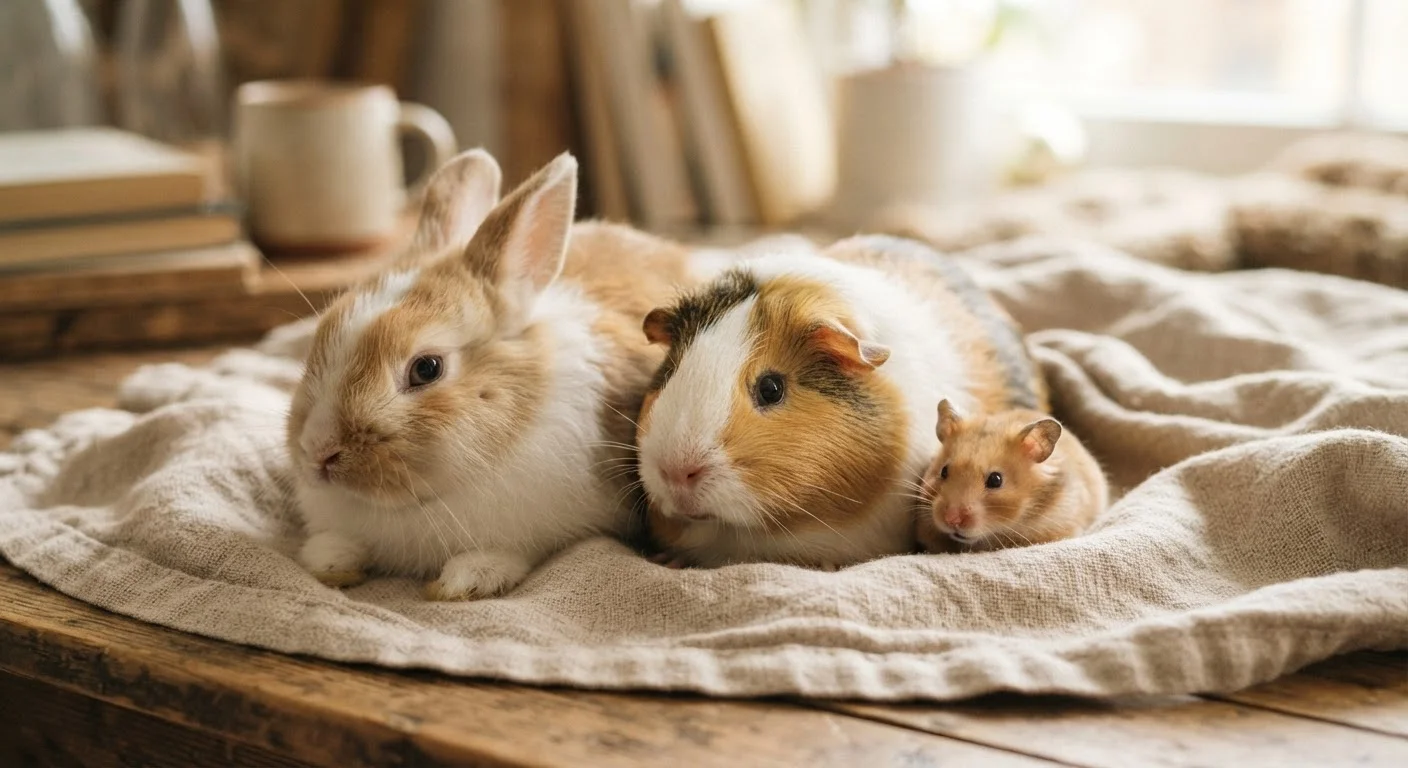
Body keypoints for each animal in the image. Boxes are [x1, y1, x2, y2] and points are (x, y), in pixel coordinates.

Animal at [286, 148, 709, 599]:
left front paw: (465, 580)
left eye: (426, 369)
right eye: (321, 333)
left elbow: (503, 554)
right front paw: (330, 561)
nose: (316, 451)